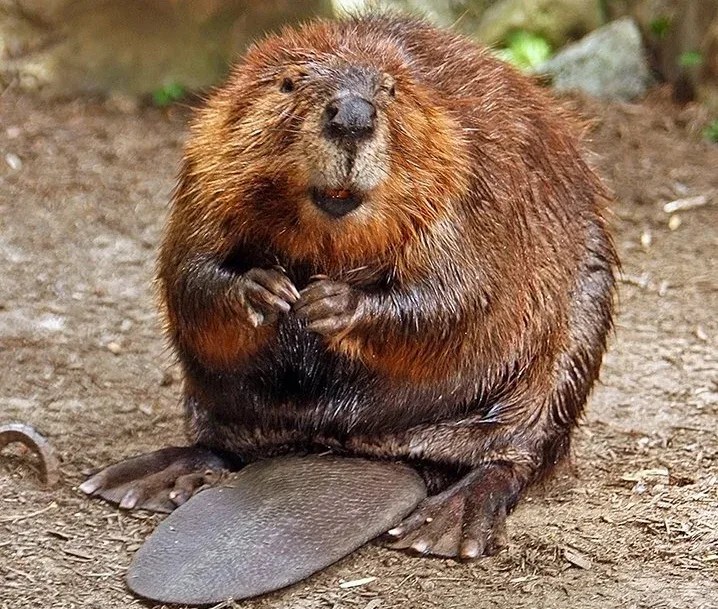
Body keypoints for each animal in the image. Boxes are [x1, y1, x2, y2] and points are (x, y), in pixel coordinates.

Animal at [80, 14, 620, 564]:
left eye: (391, 89)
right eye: (288, 83)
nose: (353, 117)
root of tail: (368, 448)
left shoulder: (474, 177)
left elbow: (460, 294)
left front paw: (329, 303)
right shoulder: (207, 164)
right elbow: (188, 270)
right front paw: (266, 290)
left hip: (576, 333)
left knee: (517, 455)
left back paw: (443, 524)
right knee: (223, 444)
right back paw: (138, 480)